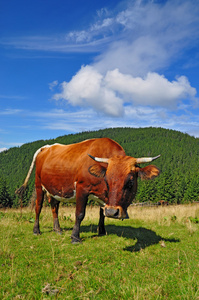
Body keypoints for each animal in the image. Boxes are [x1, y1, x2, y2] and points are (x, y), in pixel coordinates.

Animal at [16, 137, 161, 243]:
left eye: (130, 182)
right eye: (106, 180)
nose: (113, 212)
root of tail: (46, 147)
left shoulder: (105, 198)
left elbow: (102, 213)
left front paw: (101, 231)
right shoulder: (82, 188)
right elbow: (80, 214)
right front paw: (75, 237)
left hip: (55, 189)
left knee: (54, 206)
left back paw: (57, 229)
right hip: (38, 184)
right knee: (38, 207)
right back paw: (36, 230)